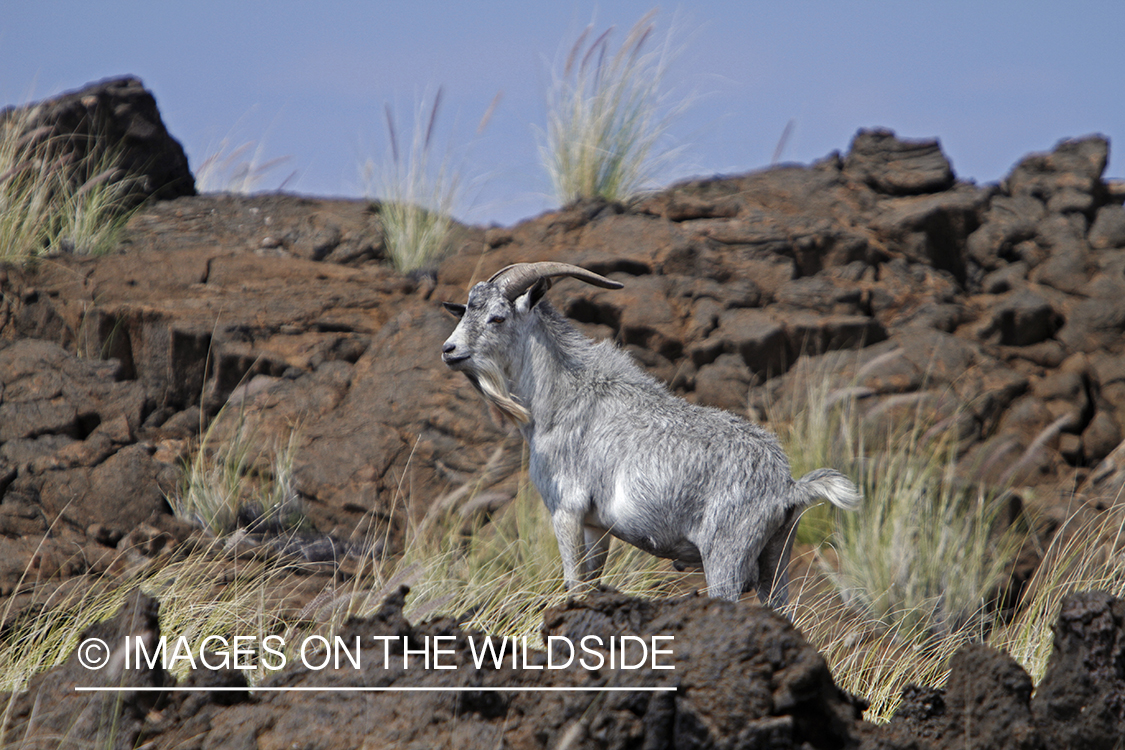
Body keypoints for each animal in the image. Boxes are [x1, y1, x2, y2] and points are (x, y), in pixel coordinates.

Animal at [441, 263, 859, 602]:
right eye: (466, 311)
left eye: (497, 318)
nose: (449, 349)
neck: (561, 398)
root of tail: (788, 487)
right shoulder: (595, 525)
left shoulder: (566, 509)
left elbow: (574, 585)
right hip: (776, 558)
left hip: (725, 555)